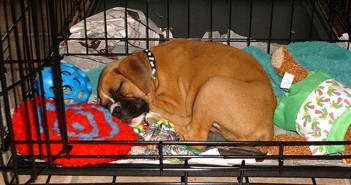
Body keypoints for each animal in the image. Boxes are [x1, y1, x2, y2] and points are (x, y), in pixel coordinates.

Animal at [99, 38, 278, 152]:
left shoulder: (173, 104)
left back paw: (155, 119)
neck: (154, 69)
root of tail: (268, 126)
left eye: (119, 88)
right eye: (104, 105)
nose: (115, 111)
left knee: (196, 136)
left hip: (214, 85)